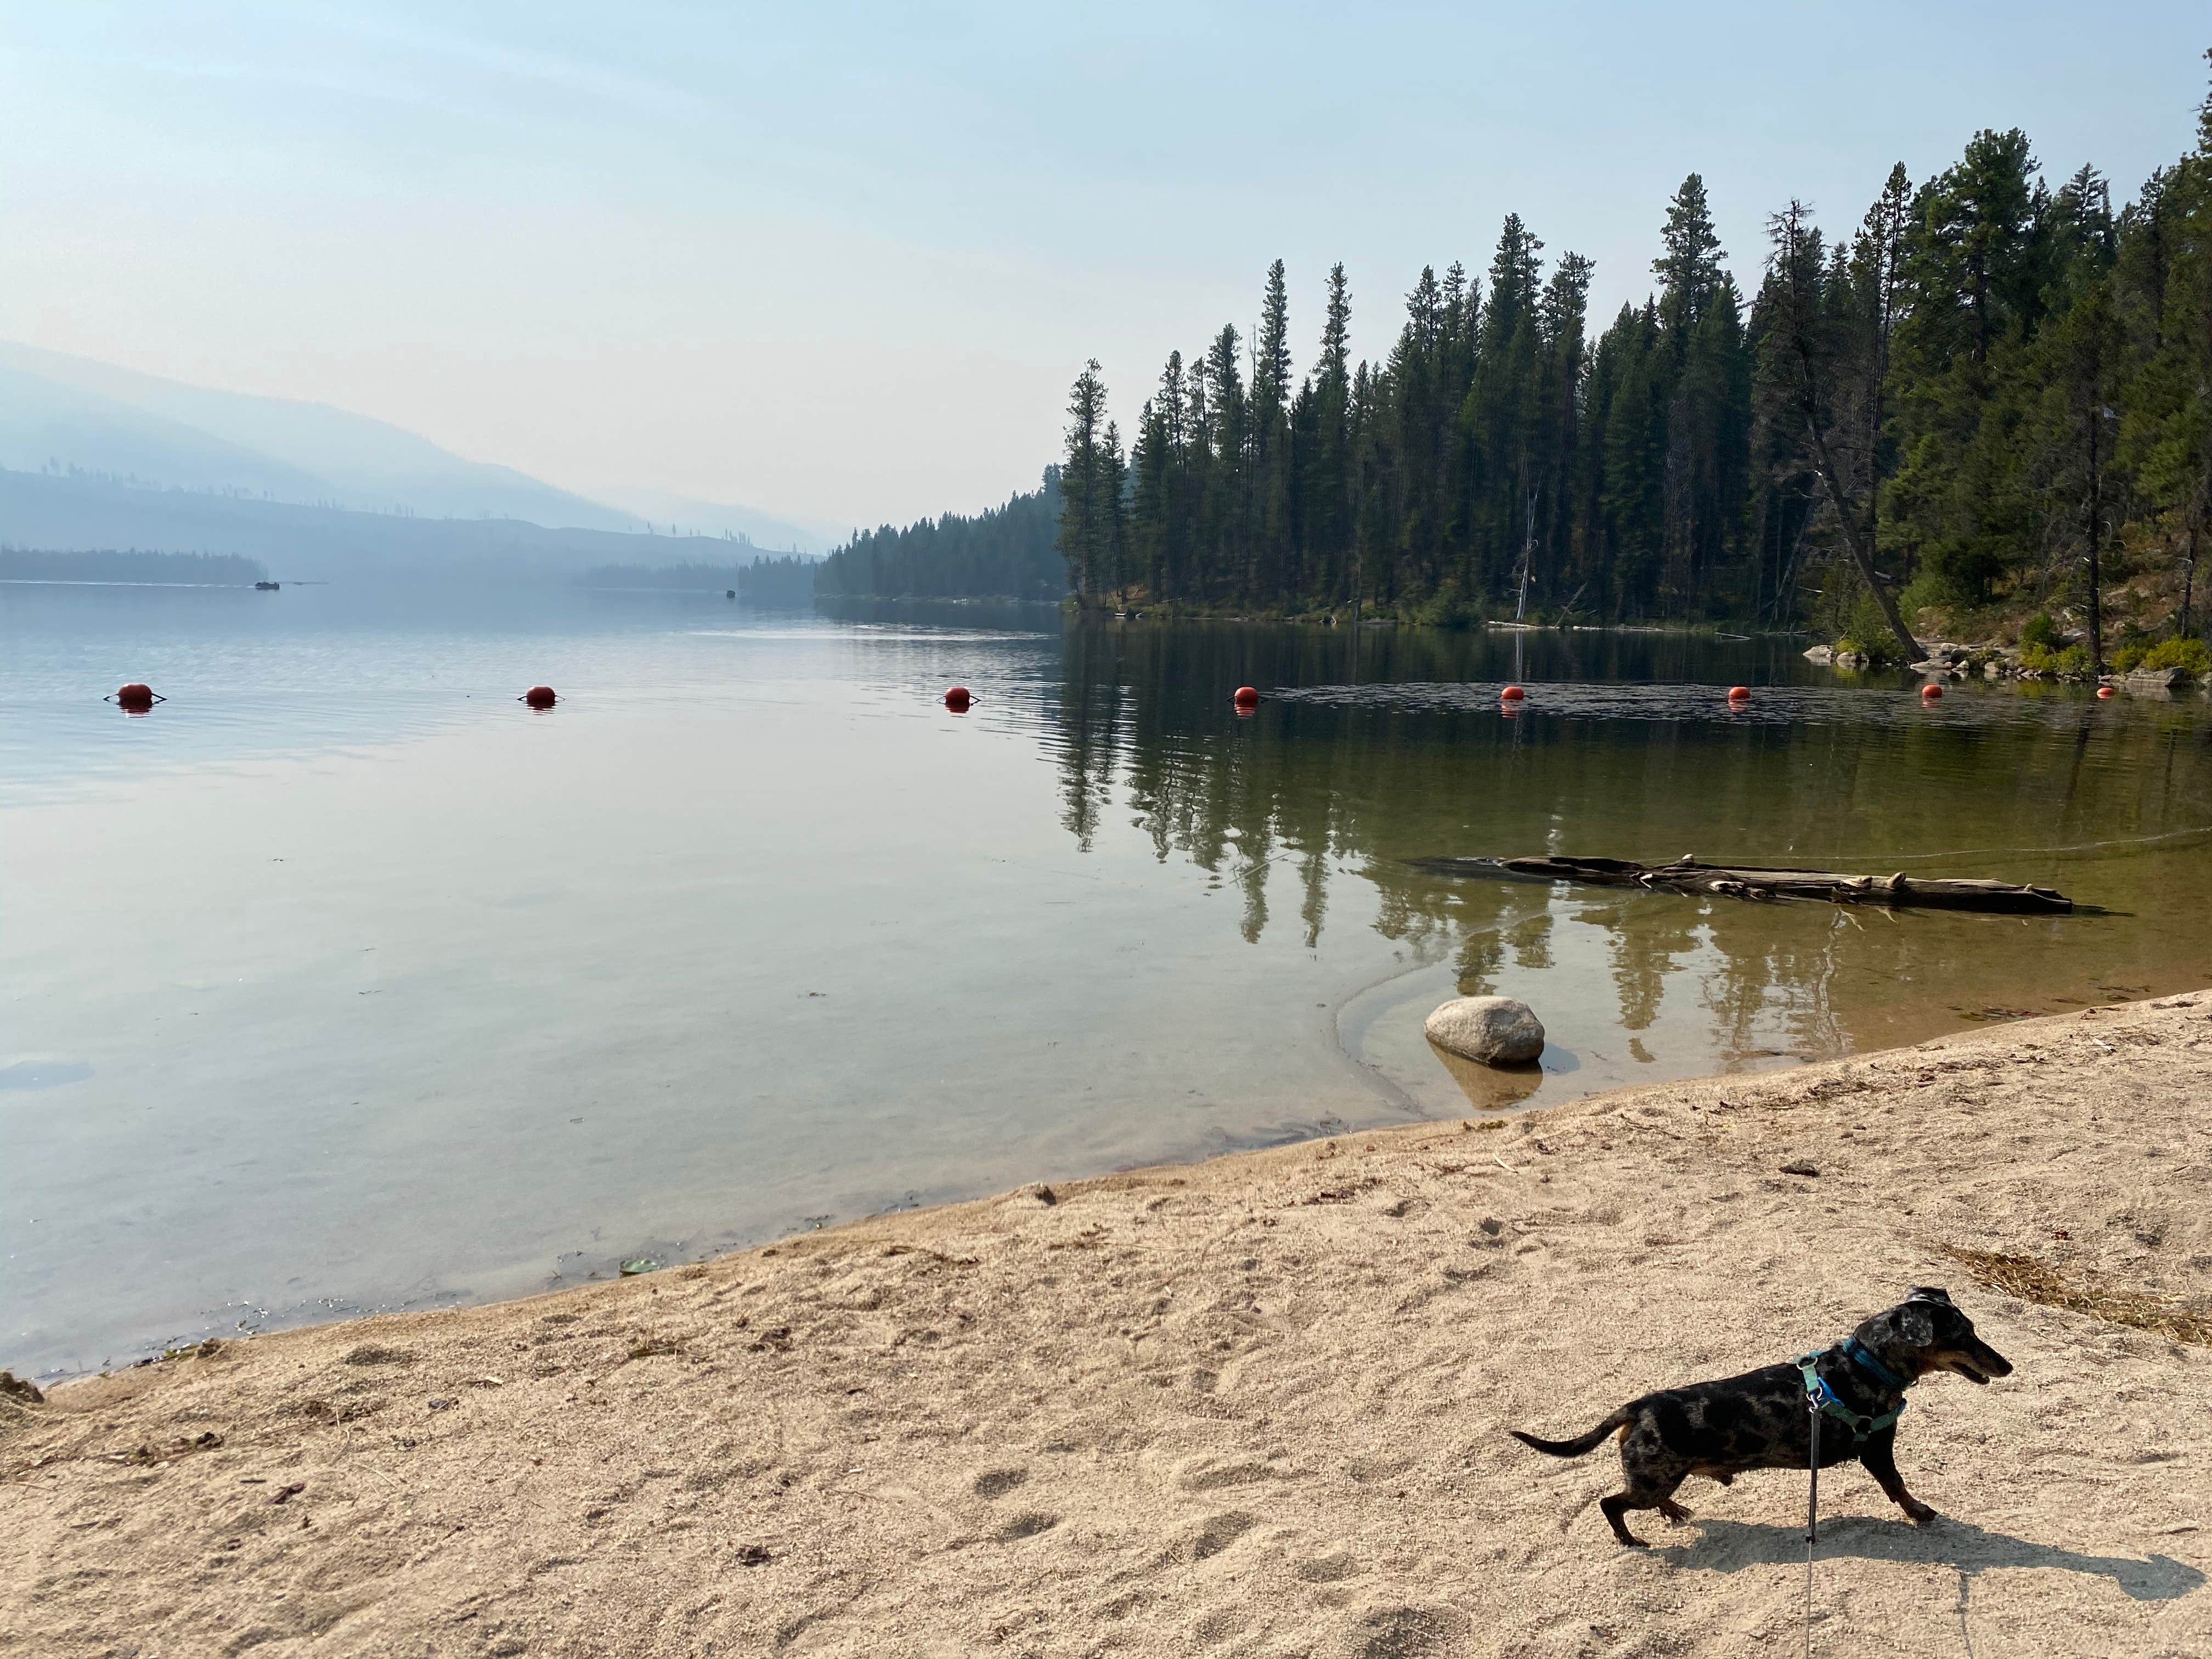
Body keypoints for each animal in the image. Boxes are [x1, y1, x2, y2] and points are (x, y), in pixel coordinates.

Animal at [1513, 1291, 2017, 1557]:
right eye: (1965, 1334)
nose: (2009, 1366)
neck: (1865, 1364)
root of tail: (1637, 1407)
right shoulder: (1877, 1450)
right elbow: (1898, 1487)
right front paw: (1920, 1512)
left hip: (1660, 1478)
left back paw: (1674, 1512)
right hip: (1653, 1480)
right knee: (1610, 1504)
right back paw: (1631, 1540)